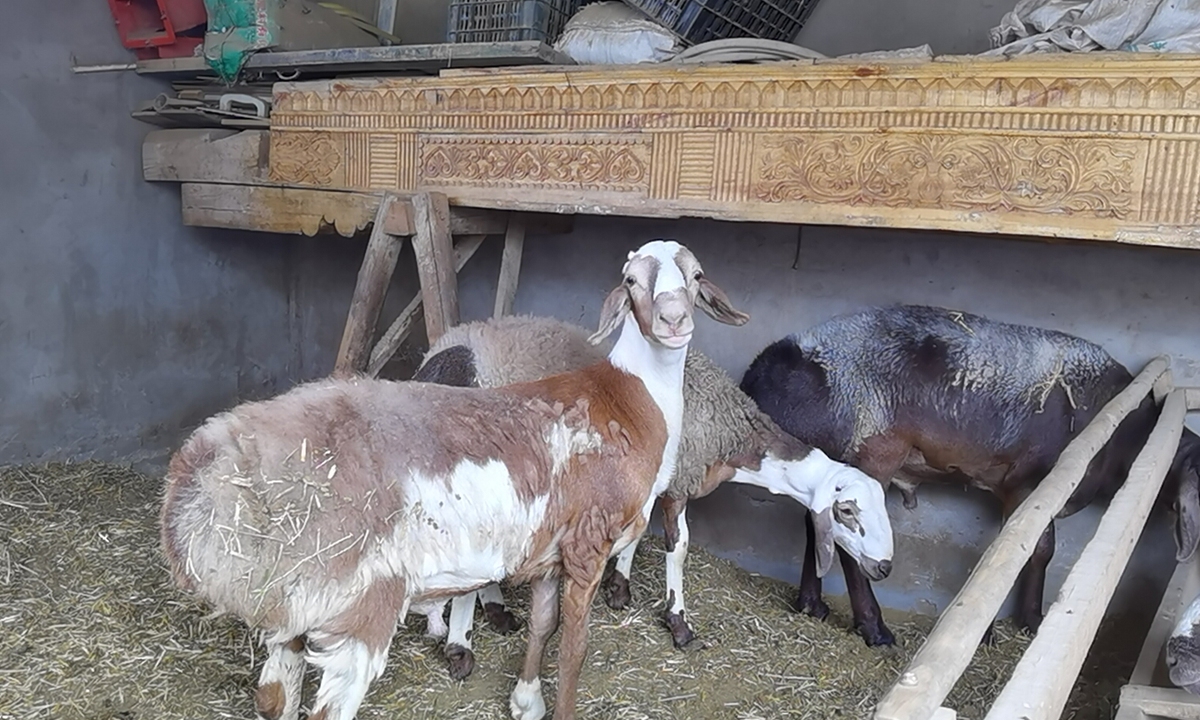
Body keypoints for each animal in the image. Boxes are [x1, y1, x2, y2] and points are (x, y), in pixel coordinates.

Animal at [154, 240, 744, 720]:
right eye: (631, 280)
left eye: (695, 274)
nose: (673, 319)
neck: (630, 396)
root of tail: (207, 479)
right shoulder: (587, 545)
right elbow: (574, 648)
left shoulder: (550, 553)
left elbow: (544, 625)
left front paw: (525, 700)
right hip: (356, 606)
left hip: (292, 605)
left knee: (273, 699)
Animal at [412, 312, 892, 676]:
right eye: (846, 511)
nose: (884, 568)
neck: (731, 437)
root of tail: (444, 359)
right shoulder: (678, 481)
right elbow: (677, 547)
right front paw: (678, 623)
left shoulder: (649, 481)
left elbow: (638, 532)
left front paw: (619, 587)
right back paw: (460, 646)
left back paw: (494, 613)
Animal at [739, 302, 1200, 648]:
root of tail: (765, 369)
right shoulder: (1028, 484)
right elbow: (1035, 549)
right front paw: (1021, 623)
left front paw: (1027, 619)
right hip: (870, 454)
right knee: (850, 540)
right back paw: (875, 630)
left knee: (816, 523)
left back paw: (811, 606)